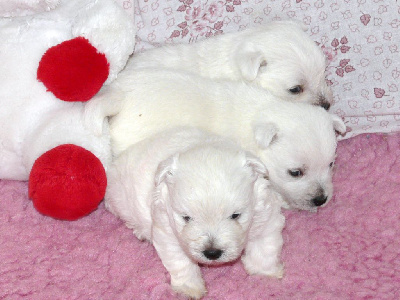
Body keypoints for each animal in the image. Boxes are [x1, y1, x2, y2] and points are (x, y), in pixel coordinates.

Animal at [106, 127, 286, 300]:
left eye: (236, 215)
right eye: (186, 218)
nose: (212, 253)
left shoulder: (266, 215)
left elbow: (265, 247)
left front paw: (265, 273)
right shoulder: (167, 230)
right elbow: (181, 262)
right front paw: (189, 288)